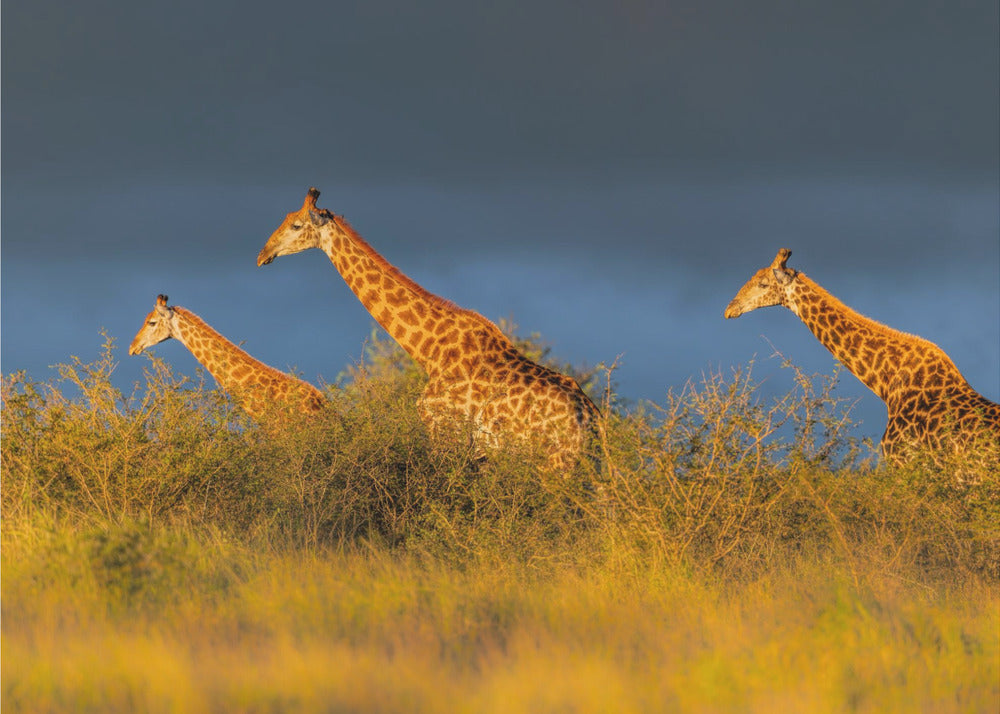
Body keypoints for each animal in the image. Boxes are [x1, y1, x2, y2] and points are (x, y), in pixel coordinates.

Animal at [258, 186, 600, 470]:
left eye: (296, 225)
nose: (263, 254)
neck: (429, 351)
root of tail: (591, 419)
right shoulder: (478, 452)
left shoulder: (445, 434)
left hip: (556, 463)